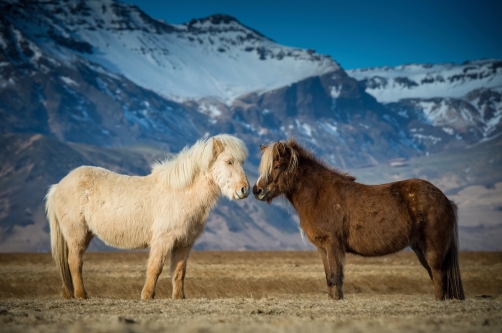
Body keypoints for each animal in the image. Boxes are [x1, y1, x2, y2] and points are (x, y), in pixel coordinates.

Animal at [46, 134, 250, 300]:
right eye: (229, 161)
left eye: (242, 162)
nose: (244, 190)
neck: (181, 193)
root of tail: (58, 186)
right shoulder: (163, 240)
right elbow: (155, 268)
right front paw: (147, 295)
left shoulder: (184, 243)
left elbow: (179, 271)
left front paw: (179, 297)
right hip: (77, 234)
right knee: (74, 262)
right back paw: (81, 295)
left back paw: (69, 294)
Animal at [253, 139, 464, 300]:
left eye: (277, 166)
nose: (257, 191)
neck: (318, 194)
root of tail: (445, 200)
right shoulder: (323, 249)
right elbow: (329, 280)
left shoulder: (334, 245)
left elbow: (336, 279)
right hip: (420, 249)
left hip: (433, 249)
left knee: (438, 276)